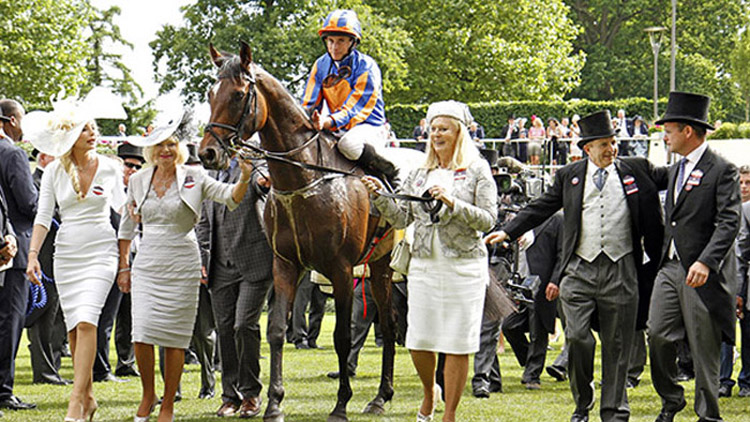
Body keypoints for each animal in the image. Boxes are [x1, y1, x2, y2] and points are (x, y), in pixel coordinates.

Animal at [200, 40, 400, 422]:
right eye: (209, 93)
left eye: (238, 94)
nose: (207, 153)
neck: (304, 179)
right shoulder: (285, 265)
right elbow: (276, 331)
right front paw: (274, 403)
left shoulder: (340, 270)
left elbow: (341, 337)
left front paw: (340, 404)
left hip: (381, 265)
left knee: (389, 322)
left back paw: (382, 396)